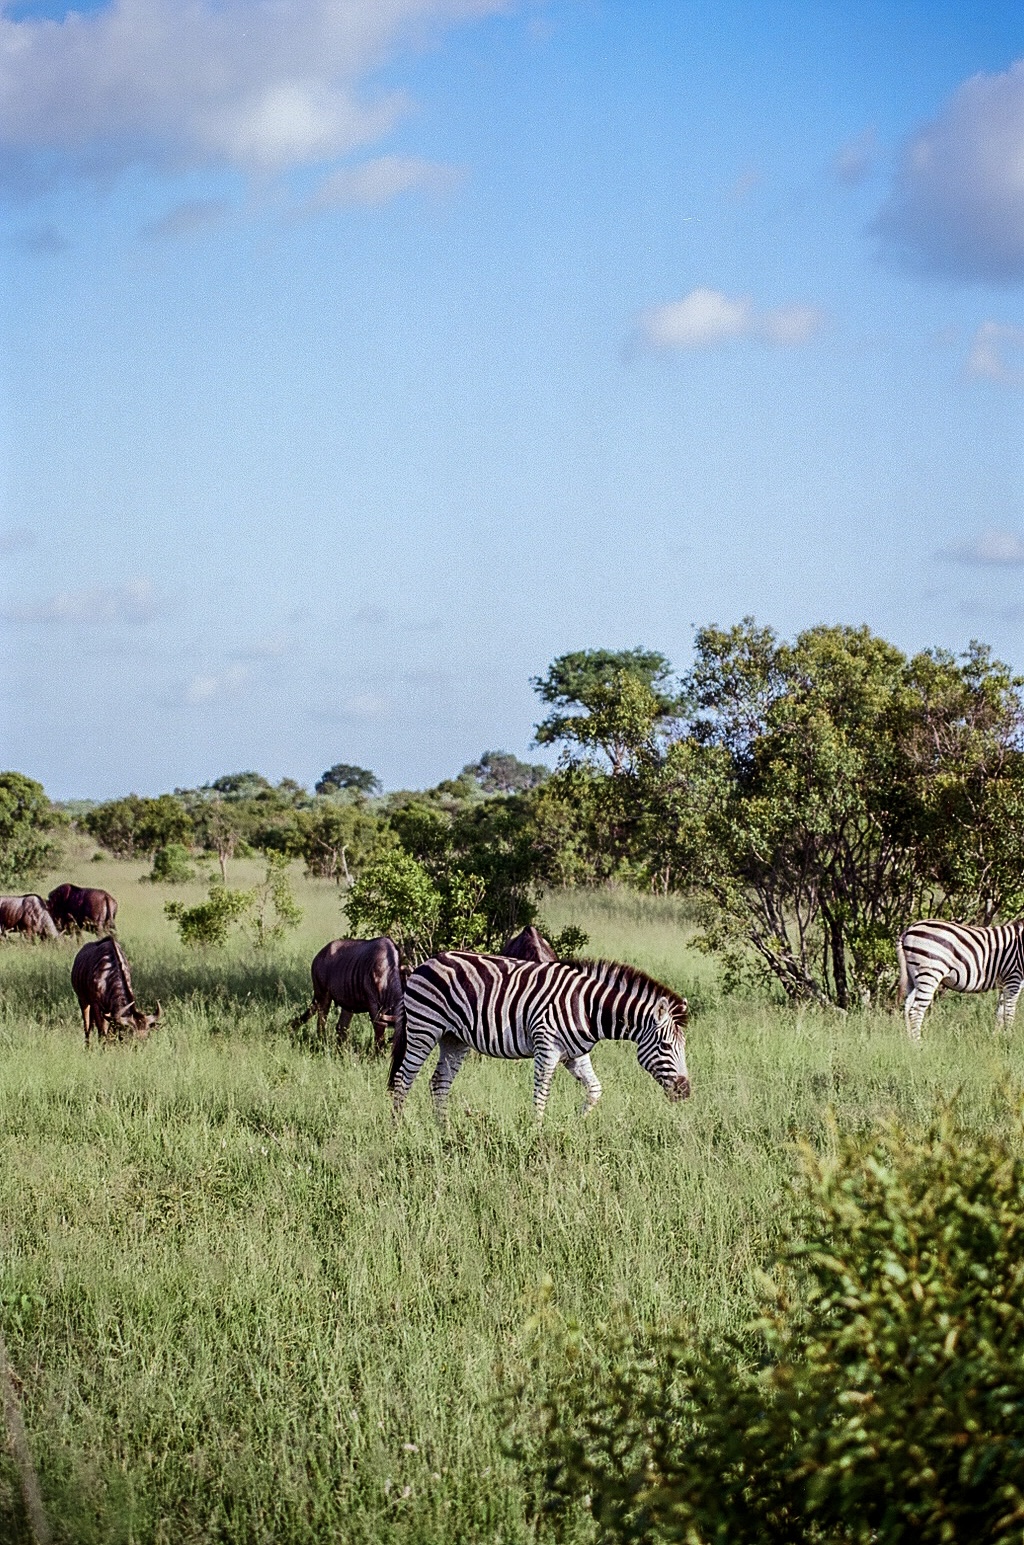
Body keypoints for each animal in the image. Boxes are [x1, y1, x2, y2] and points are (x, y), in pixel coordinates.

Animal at [389, 952, 690, 1118]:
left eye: (683, 1047)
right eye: (665, 1046)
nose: (685, 1092)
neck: (588, 1008)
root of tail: (426, 962)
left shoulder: (575, 1055)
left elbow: (594, 1090)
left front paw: (575, 1123)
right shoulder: (547, 1048)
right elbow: (541, 1095)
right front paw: (537, 1136)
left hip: (454, 1039)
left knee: (439, 1083)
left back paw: (444, 1132)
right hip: (424, 1028)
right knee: (403, 1081)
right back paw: (399, 1132)